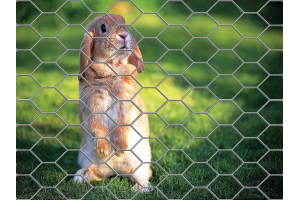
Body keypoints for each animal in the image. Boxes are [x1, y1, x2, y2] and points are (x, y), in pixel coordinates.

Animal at [73, 14, 152, 192]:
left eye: (124, 23)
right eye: (103, 28)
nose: (123, 35)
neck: (111, 67)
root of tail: (117, 171)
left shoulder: (125, 105)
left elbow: (121, 125)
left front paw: (120, 148)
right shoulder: (92, 108)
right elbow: (99, 127)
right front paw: (103, 149)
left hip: (141, 165)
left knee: (142, 177)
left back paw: (141, 188)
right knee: (95, 173)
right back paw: (81, 177)